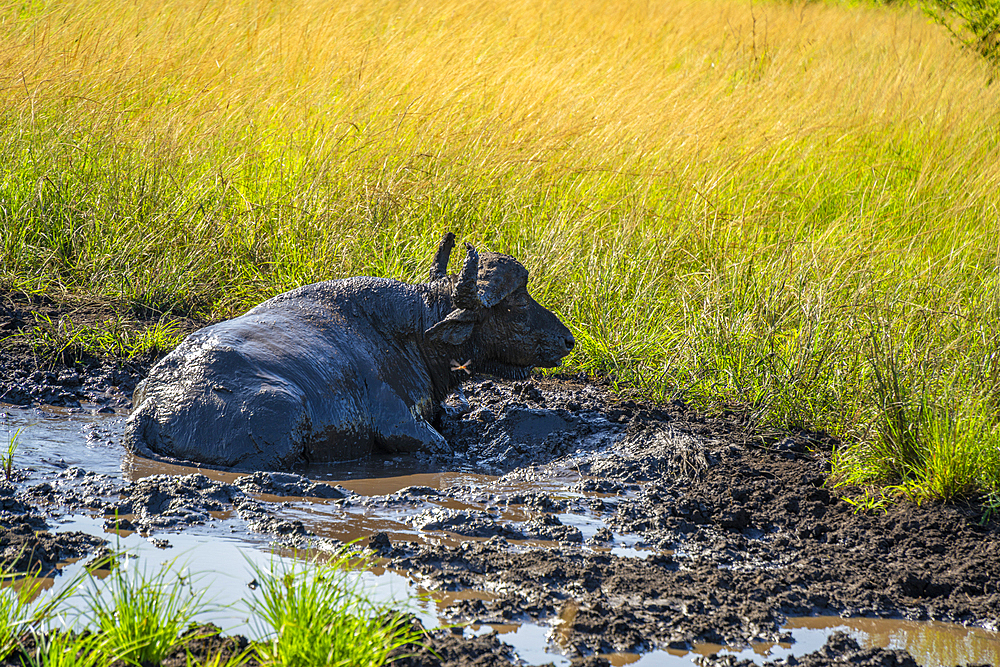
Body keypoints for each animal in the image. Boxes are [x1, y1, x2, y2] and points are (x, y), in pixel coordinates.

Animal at [126, 235, 580, 470]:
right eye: (515, 303)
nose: (568, 340)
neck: (414, 333)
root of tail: (150, 407)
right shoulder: (402, 428)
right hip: (285, 415)